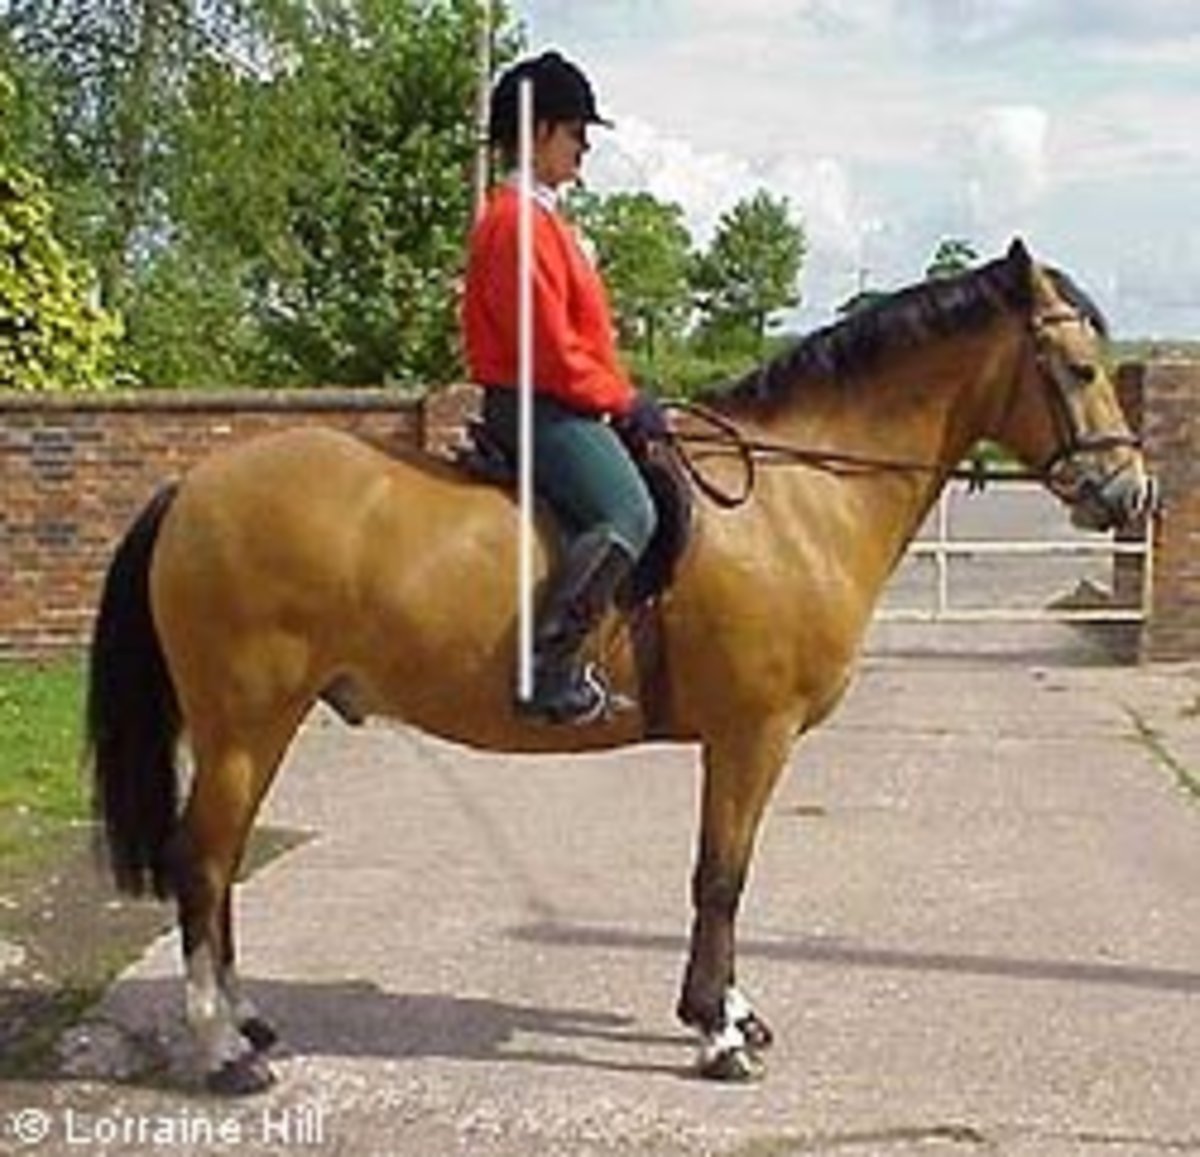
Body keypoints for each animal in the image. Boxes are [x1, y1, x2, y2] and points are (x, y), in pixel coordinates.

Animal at [86, 240, 1150, 1094]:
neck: (796, 494)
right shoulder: (751, 733)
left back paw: (247, 1017)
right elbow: (721, 876)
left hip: (257, 724)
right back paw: (224, 1050)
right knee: (203, 858)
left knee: (220, 865)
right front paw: (719, 1033)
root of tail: (193, 486)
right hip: (246, 720)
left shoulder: (742, 740)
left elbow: (728, 873)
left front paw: (731, 1010)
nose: (1131, 494)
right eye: (1078, 367)